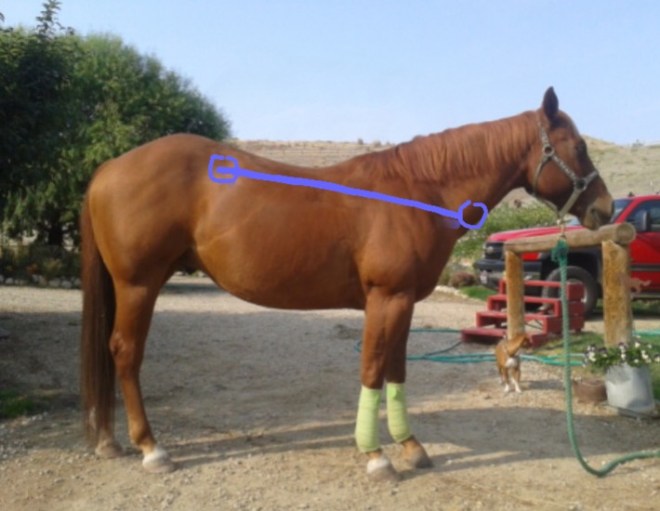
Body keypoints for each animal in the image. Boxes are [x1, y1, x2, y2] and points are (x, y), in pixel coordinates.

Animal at [80, 87, 613, 480]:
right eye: (580, 146)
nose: (605, 209)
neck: (417, 190)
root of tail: (109, 167)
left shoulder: (403, 301)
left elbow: (396, 370)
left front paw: (410, 446)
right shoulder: (385, 299)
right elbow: (373, 368)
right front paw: (376, 457)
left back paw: (109, 441)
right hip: (138, 284)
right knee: (125, 352)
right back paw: (151, 448)